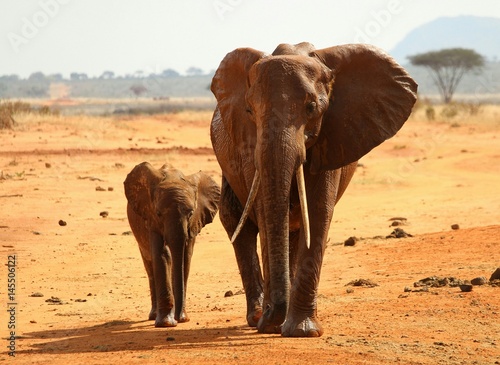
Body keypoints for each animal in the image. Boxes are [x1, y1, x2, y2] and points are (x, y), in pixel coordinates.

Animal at [123, 162, 219, 328]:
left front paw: (182, 318)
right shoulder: (151, 218)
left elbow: (185, 257)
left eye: (191, 213)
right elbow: (162, 255)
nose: (179, 318)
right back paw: (154, 316)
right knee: (150, 266)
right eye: (159, 213)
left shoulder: (194, 222)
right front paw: (167, 323)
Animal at [208, 42, 418, 336]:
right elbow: (265, 212)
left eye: (311, 107)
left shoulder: (333, 136)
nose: (272, 315)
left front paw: (301, 330)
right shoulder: (249, 145)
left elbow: (318, 212)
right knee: (238, 220)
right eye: (249, 110)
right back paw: (258, 315)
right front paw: (271, 325)